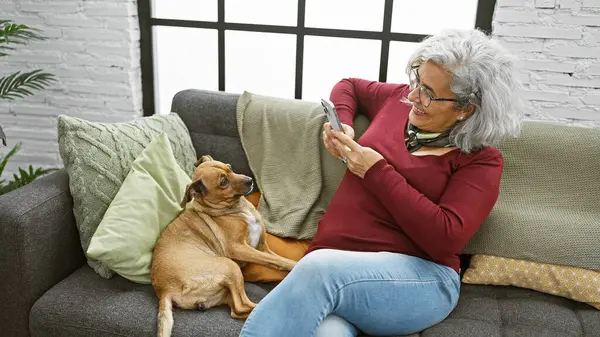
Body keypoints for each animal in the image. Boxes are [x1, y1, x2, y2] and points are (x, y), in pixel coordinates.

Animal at [151, 154, 296, 336]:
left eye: (230, 168)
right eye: (223, 182)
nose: (250, 180)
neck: (235, 208)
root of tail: (164, 291)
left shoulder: (263, 248)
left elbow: (278, 260)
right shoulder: (239, 248)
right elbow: (278, 261)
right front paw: (297, 265)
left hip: (226, 290)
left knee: (237, 310)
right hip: (230, 265)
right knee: (242, 307)